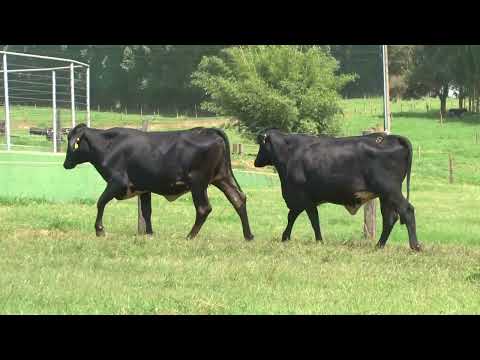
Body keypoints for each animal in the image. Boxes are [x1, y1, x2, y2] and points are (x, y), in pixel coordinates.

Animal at [62, 124, 255, 242]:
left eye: (73, 143)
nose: (65, 164)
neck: (109, 144)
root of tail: (209, 130)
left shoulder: (117, 182)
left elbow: (100, 202)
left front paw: (99, 230)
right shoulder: (144, 188)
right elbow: (146, 212)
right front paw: (149, 234)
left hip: (198, 183)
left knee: (203, 208)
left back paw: (190, 236)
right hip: (222, 177)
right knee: (238, 199)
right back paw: (248, 236)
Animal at [255, 129, 420, 250]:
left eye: (261, 146)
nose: (256, 162)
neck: (290, 152)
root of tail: (392, 137)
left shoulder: (303, 198)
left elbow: (308, 219)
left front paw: (316, 240)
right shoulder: (304, 200)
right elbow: (298, 217)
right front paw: (287, 237)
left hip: (391, 191)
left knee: (407, 211)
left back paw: (415, 246)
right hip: (385, 196)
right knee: (390, 218)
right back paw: (379, 245)